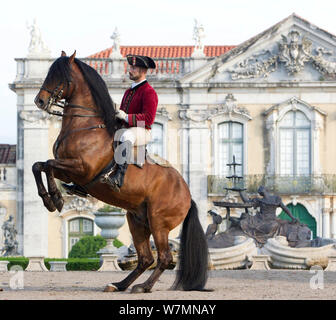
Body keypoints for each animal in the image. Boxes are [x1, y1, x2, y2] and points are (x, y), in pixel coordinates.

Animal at [32, 51, 209, 294]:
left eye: (59, 76)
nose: (39, 101)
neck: (85, 126)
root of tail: (188, 195)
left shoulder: (80, 169)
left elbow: (47, 164)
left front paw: (55, 199)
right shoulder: (68, 171)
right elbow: (38, 165)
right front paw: (50, 198)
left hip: (158, 222)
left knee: (163, 257)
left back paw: (143, 287)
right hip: (137, 220)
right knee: (145, 258)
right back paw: (119, 284)